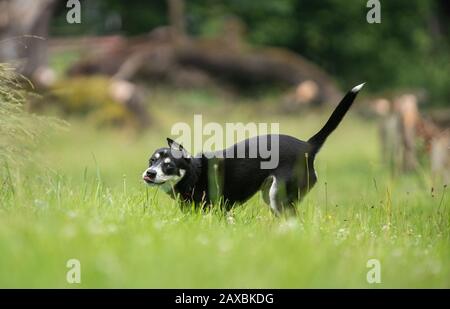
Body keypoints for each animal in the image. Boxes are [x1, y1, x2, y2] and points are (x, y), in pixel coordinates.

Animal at [142, 82, 364, 213]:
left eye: (169, 165)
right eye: (152, 161)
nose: (150, 173)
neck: (194, 173)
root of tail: (308, 145)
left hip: (279, 198)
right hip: (271, 196)